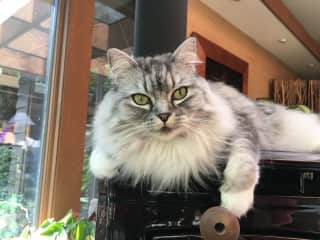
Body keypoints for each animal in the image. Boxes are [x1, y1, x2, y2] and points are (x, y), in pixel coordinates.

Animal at [89, 37, 320, 218]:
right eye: (140, 99)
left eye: (180, 93)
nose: (164, 116)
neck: (168, 148)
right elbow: (103, 150)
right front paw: (103, 165)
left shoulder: (242, 125)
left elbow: (243, 161)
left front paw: (234, 203)